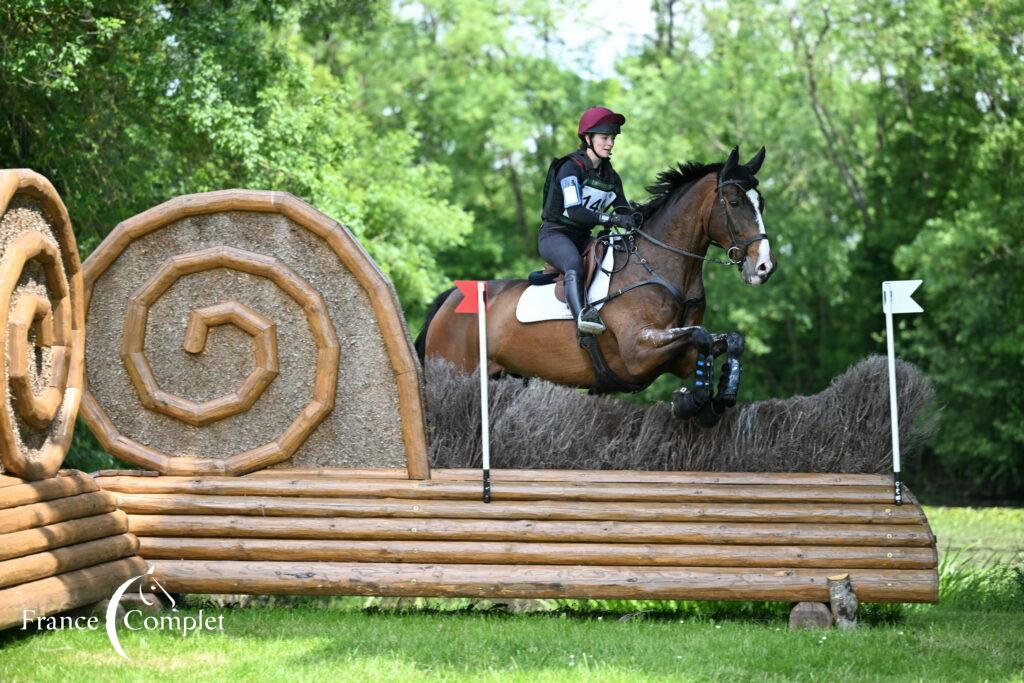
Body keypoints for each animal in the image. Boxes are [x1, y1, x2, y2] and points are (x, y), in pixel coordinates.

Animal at [415, 146, 774, 423]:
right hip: (455, 375)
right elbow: (700, 335)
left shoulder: (678, 357)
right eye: (735, 202)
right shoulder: (638, 351)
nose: (764, 267)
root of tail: (450, 299)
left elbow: (725, 340)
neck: (662, 269)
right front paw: (693, 401)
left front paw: (720, 394)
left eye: (761, 202)